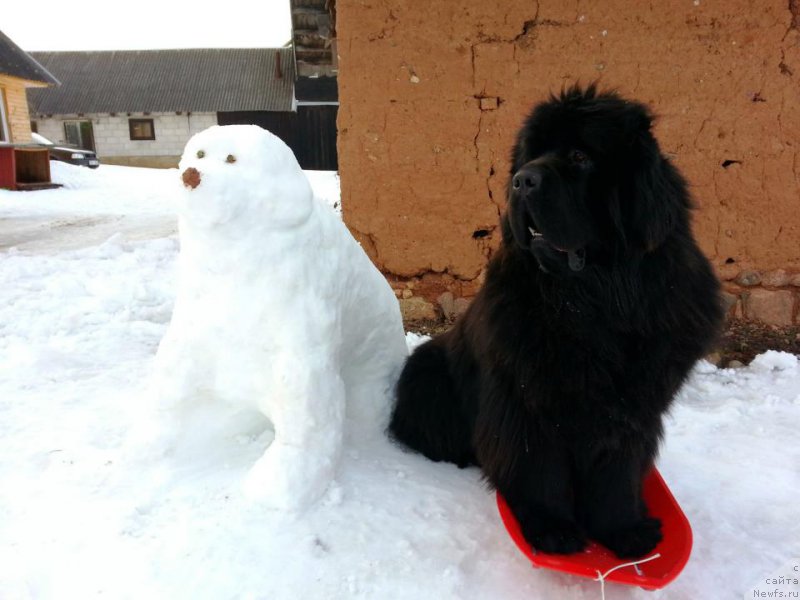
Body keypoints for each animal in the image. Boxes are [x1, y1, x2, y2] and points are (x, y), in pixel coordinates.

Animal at [390, 86, 720, 560]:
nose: (522, 180)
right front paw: (552, 530)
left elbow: (617, 474)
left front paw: (625, 531)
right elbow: (538, 468)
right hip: (426, 371)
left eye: (580, 156)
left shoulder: (632, 408)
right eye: (531, 155)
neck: (593, 302)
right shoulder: (527, 401)